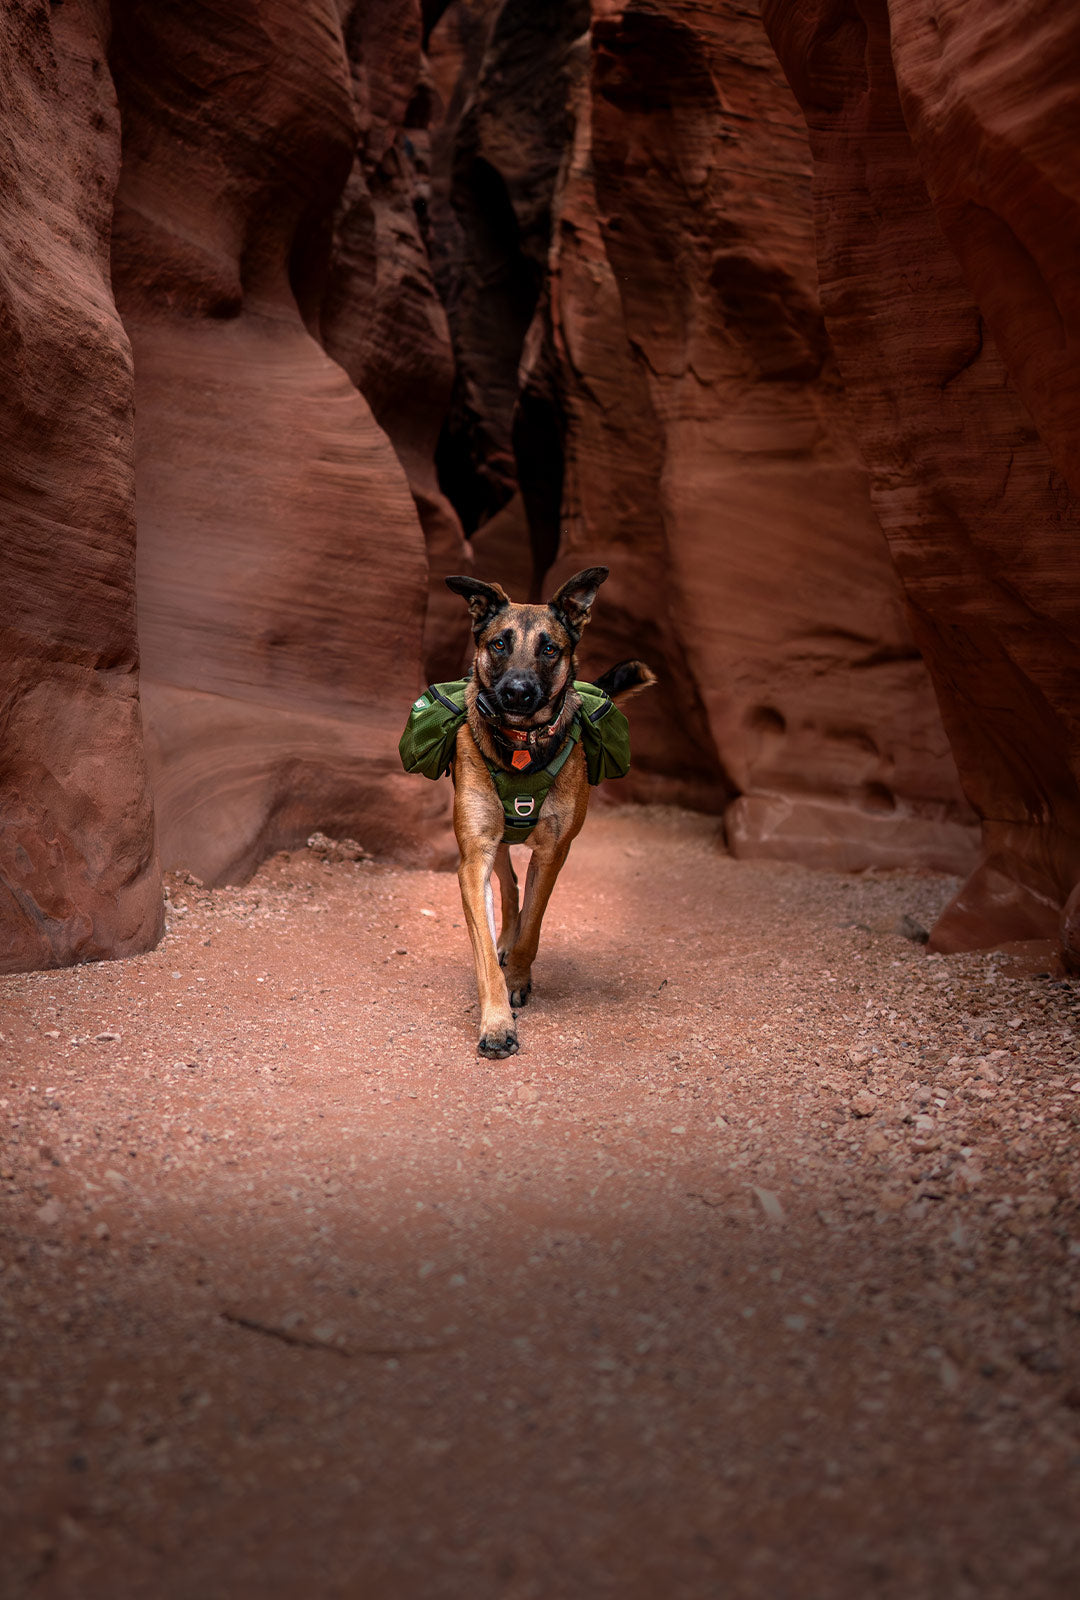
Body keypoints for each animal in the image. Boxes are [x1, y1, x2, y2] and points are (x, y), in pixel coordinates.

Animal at [444, 569, 656, 1056]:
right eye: (499, 644)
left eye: (549, 649)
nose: (517, 692)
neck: (522, 748)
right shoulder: (474, 858)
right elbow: (486, 952)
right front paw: (497, 1024)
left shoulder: (555, 852)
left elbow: (534, 925)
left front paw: (518, 978)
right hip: (496, 841)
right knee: (508, 885)